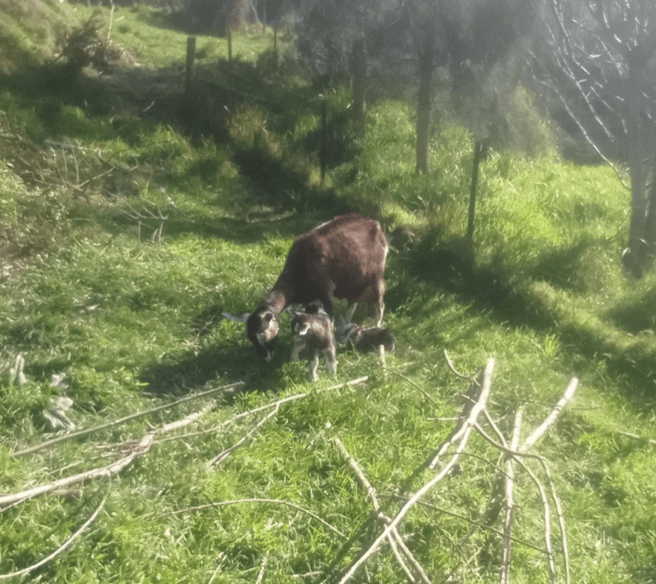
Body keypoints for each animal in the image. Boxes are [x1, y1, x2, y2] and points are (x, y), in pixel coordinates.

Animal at [224, 213, 388, 361]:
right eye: (249, 337)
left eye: (263, 334)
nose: (264, 358)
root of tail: (376, 225)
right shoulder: (310, 299)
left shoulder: (326, 291)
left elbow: (329, 319)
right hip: (356, 280)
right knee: (353, 302)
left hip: (377, 274)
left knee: (380, 305)